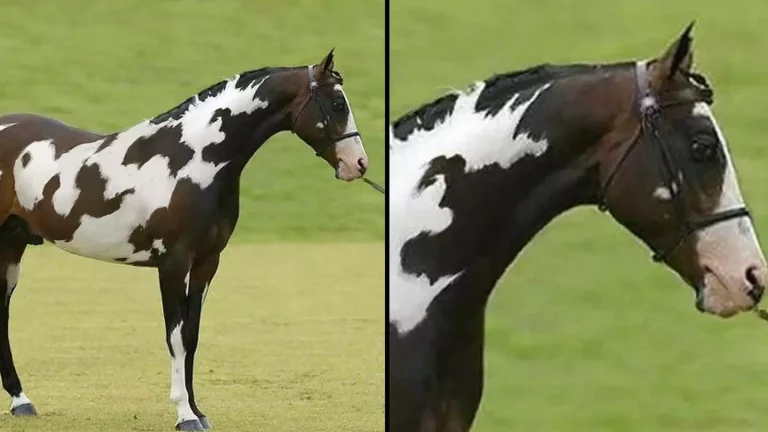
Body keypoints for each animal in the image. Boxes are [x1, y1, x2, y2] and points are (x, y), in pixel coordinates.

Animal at [0, 49, 369, 430]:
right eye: (338, 103)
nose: (358, 163)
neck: (195, 160)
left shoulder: (207, 262)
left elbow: (191, 336)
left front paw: (198, 411)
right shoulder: (173, 264)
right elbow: (175, 337)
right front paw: (184, 414)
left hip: (12, 246)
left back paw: (21, 401)